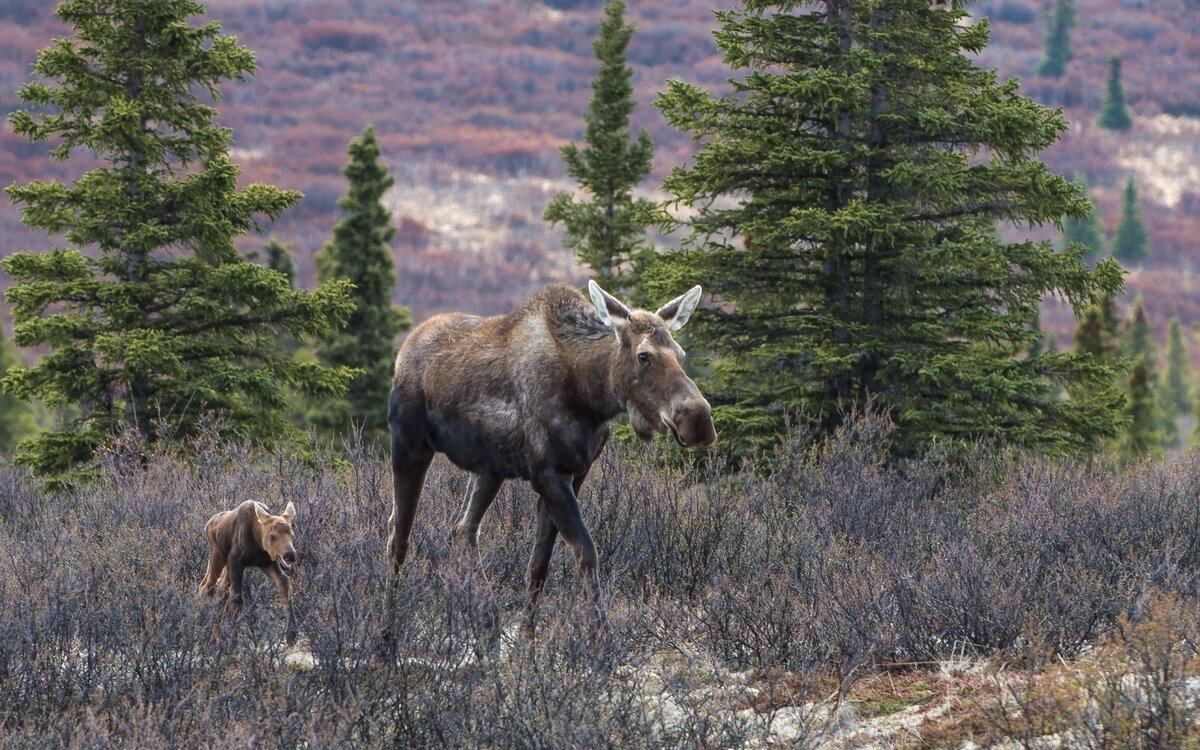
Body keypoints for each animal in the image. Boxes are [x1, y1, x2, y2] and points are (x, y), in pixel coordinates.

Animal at [199, 499, 297, 638]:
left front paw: (291, 633)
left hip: (226, 564)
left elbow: (284, 582)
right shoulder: (236, 560)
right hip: (217, 554)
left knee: (222, 589)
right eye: (272, 536)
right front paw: (233, 638)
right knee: (206, 587)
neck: (257, 542)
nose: (289, 555)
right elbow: (237, 598)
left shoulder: (267, 562)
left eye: (292, 535)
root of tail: (207, 525)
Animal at [388, 280, 715, 633]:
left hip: (488, 470)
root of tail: (404, 349)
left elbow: (538, 565)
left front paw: (527, 638)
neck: (590, 395)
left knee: (462, 529)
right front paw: (601, 637)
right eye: (644, 356)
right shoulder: (548, 475)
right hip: (409, 444)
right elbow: (586, 552)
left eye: (681, 354)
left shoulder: (575, 473)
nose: (697, 419)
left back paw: (486, 621)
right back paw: (387, 627)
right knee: (399, 536)